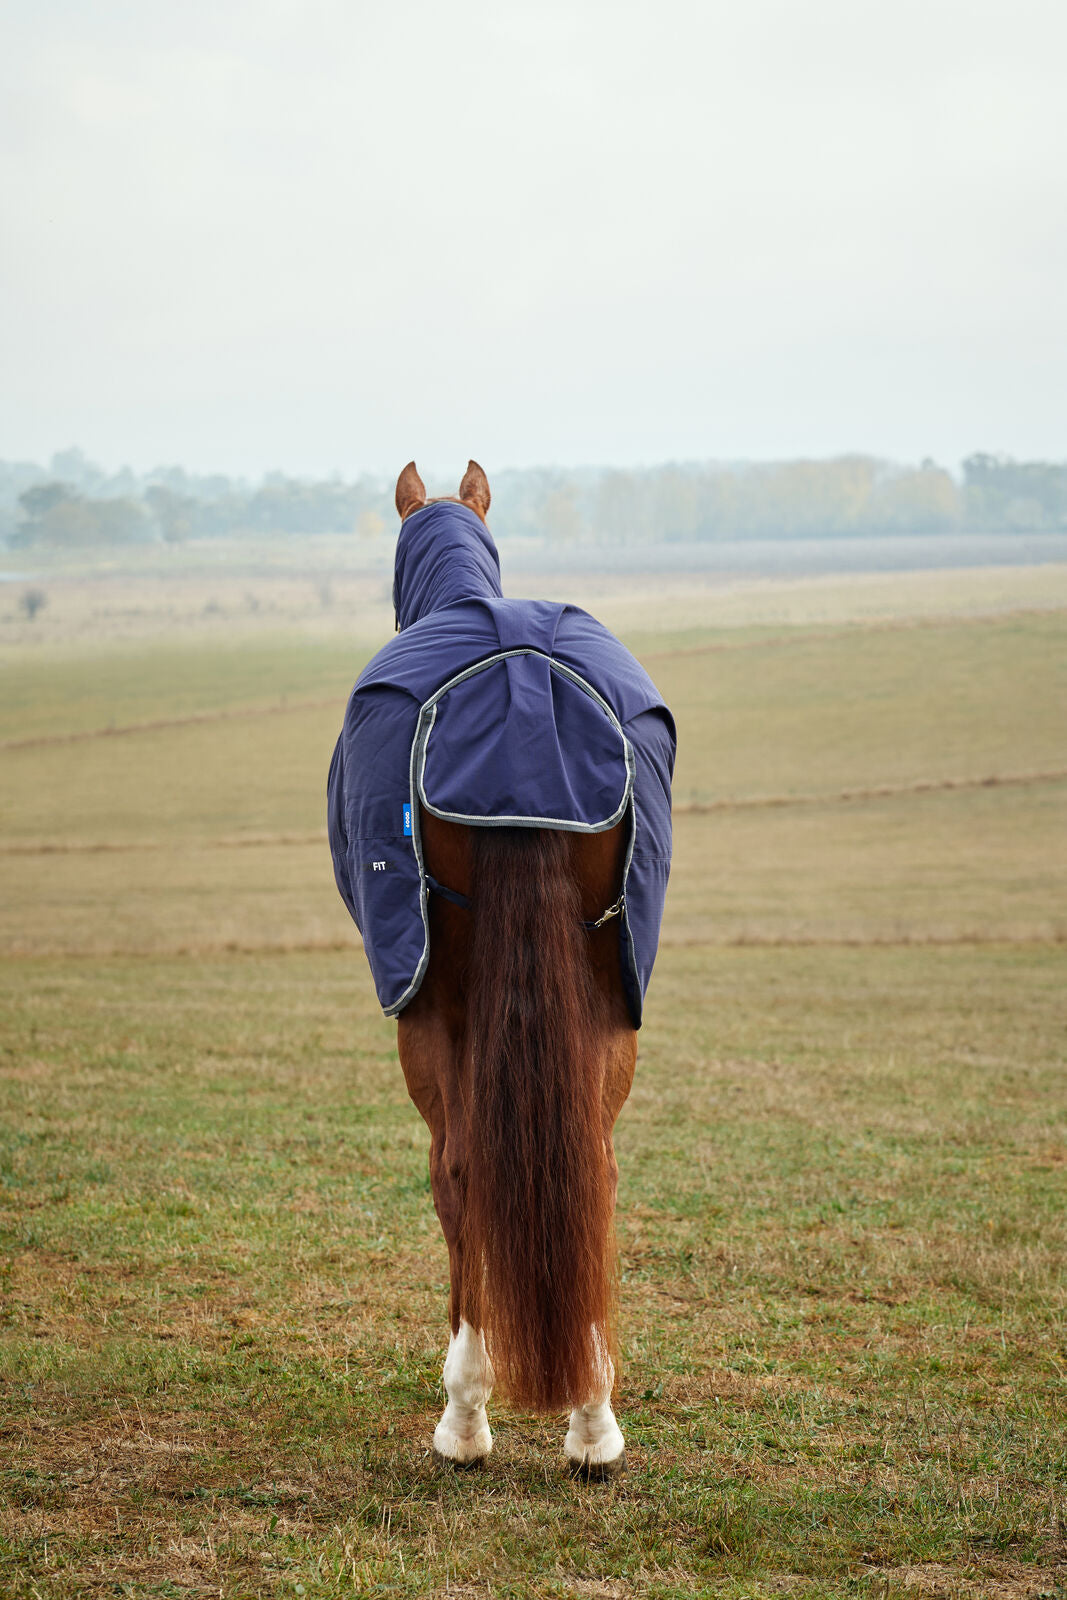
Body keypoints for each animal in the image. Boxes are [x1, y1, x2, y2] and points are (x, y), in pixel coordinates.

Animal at [327, 461, 675, 1474]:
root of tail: (523, 686)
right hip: (608, 992)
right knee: (594, 1171)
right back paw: (593, 1419)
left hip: (430, 1008)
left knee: (460, 1174)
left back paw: (465, 1413)